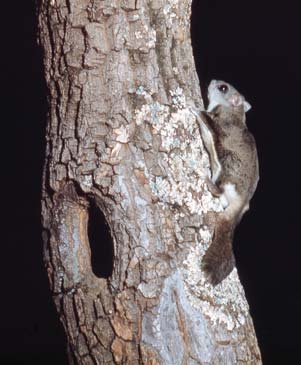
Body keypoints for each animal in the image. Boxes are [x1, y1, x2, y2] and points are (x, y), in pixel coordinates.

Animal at [195, 79, 258, 284]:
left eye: (223, 88)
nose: (213, 81)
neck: (233, 111)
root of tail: (241, 205)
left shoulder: (220, 122)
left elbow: (205, 117)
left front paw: (194, 108)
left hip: (228, 173)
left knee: (219, 190)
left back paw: (209, 183)